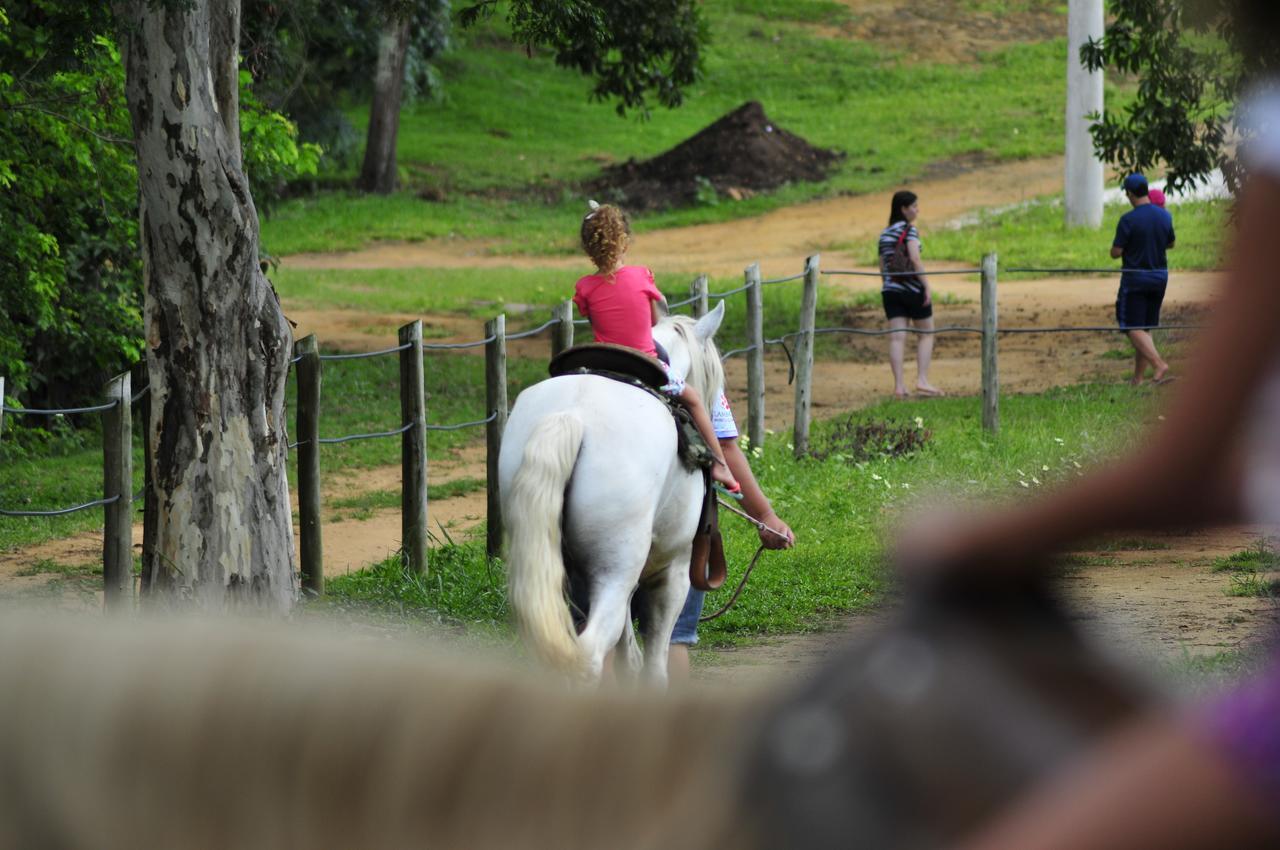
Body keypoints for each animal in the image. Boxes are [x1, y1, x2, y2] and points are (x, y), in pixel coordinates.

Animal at [496, 303, 727, 686]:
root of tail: (570, 417)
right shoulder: (672, 572)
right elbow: (653, 665)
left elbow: (626, 653)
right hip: (616, 569)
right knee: (589, 652)